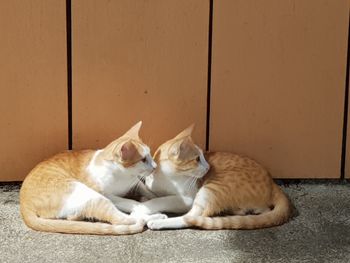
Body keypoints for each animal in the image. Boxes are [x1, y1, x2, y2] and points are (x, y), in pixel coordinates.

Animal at [20, 122, 164, 236]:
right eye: (143, 159)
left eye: (150, 155)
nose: (155, 166)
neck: (124, 177)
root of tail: (23, 203)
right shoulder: (107, 195)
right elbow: (129, 202)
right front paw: (140, 204)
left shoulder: (135, 182)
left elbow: (145, 189)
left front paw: (153, 196)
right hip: (88, 194)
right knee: (121, 218)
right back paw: (154, 217)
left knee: (73, 217)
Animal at [131, 126, 292, 231]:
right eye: (197, 159)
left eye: (203, 156)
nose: (208, 167)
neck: (164, 179)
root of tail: (272, 182)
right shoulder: (153, 187)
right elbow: (153, 194)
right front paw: (145, 198)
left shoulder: (187, 199)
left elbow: (161, 200)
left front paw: (141, 207)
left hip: (211, 188)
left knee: (192, 218)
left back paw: (158, 222)